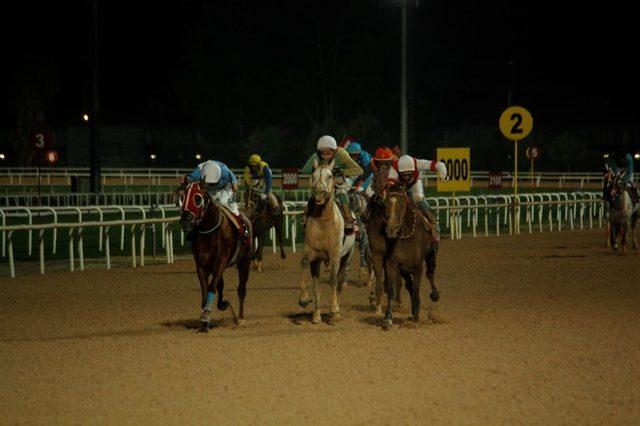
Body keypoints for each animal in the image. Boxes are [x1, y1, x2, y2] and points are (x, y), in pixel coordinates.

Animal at [179, 181, 254, 332]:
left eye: (197, 198)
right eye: (182, 197)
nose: (185, 220)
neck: (209, 233)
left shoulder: (221, 260)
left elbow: (212, 286)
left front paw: (206, 315)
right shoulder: (201, 264)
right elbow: (206, 288)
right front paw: (204, 319)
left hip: (244, 261)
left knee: (241, 289)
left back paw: (241, 318)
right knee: (221, 284)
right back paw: (222, 304)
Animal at [298, 160, 358, 322]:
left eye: (330, 176)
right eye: (313, 175)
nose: (318, 192)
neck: (323, 221)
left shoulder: (335, 255)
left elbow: (332, 280)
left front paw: (333, 309)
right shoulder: (312, 253)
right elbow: (306, 267)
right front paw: (304, 300)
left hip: (347, 256)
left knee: (339, 281)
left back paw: (336, 313)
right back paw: (317, 314)